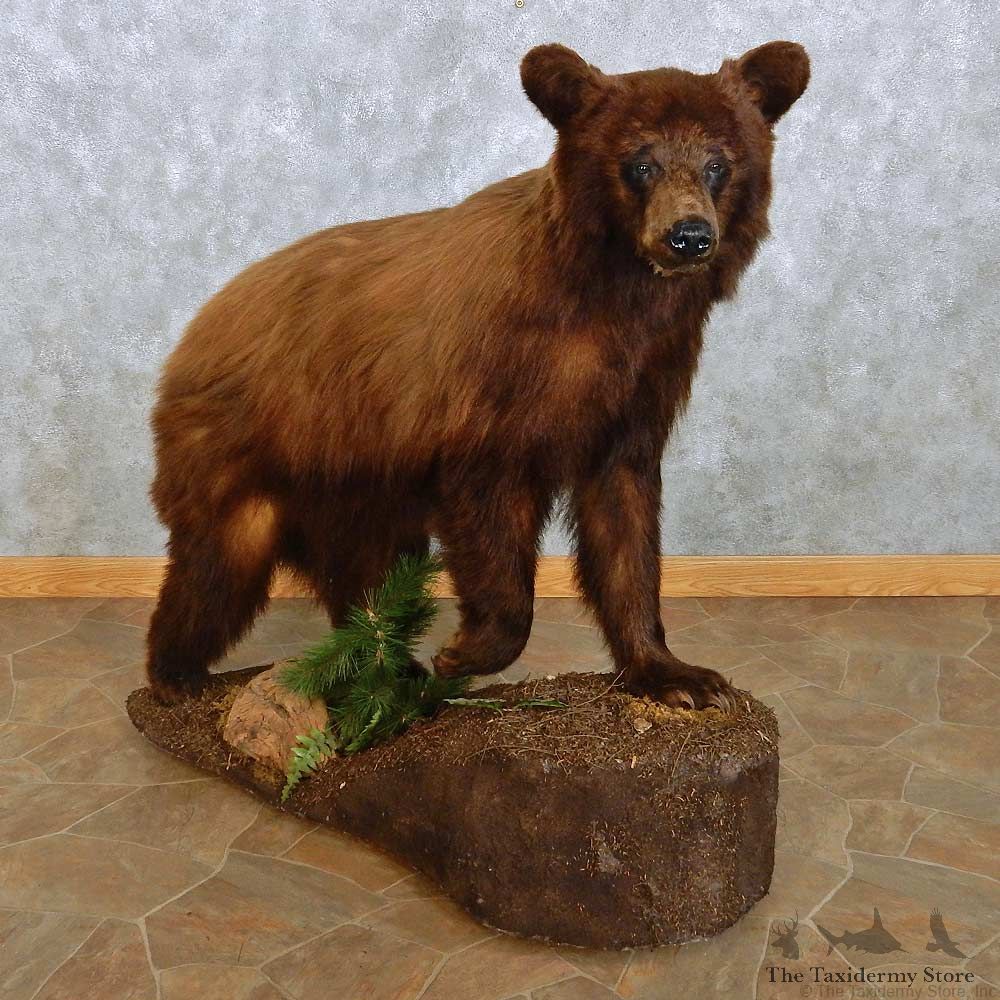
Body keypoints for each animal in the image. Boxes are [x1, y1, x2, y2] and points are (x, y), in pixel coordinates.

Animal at [146, 40, 810, 708]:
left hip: (358, 483)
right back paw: (177, 677)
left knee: (364, 570)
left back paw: (384, 670)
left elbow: (626, 530)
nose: (689, 236)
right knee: (219, 564)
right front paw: (464, 651)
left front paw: (677, 676)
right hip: (248, 444)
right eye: (641, 163)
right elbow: (492, 510)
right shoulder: (496, 382)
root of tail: (200, 325)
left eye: (718, 164)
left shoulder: (642, 384)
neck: (612, 299)